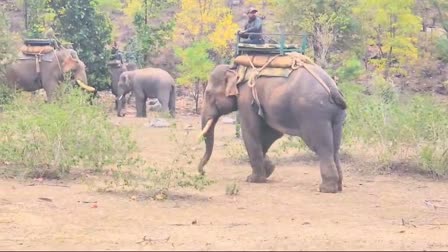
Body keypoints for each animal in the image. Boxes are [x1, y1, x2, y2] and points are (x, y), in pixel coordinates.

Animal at [198, 60, 348, 194]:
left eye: (208, 93)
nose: (202, 172)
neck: (236, 70)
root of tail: (332, 88)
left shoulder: (246, 98)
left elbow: (250, 132)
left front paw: (253, 179)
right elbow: (271, 134)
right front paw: (269, 169)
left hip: (314, 114)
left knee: (322, 147)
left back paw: (326, 189)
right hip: (336, 116)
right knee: (335, 148)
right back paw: (338, 187)